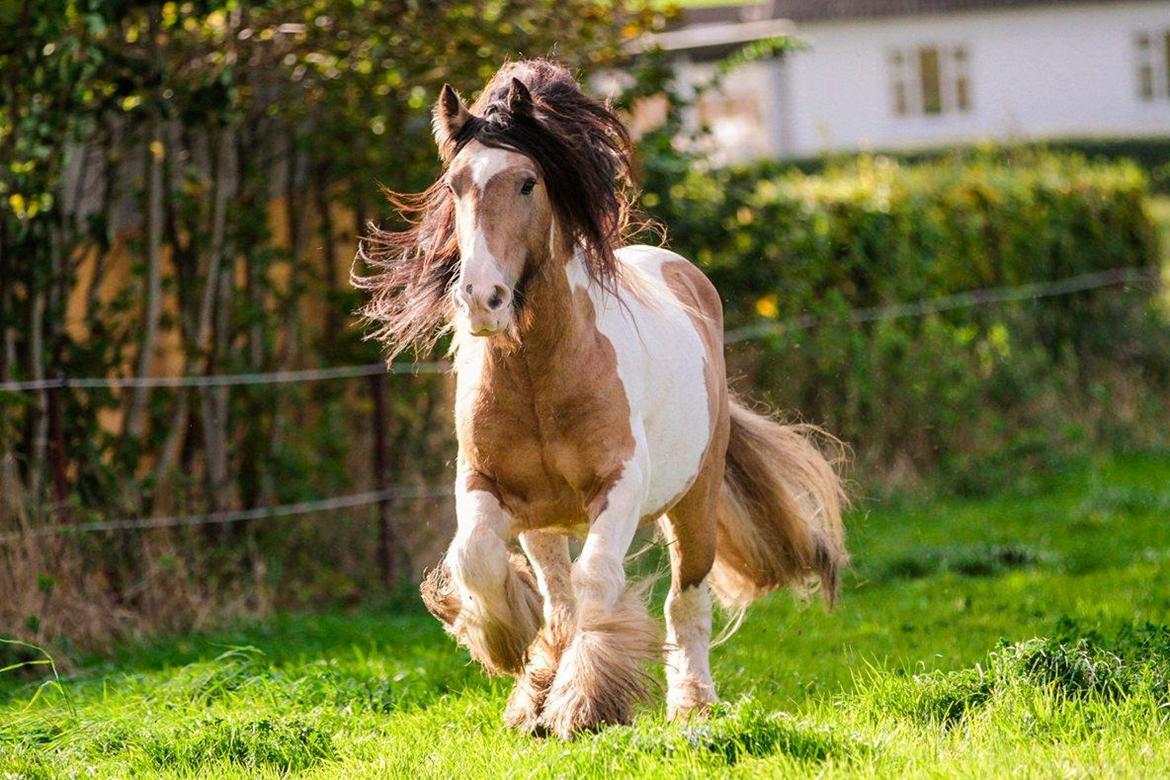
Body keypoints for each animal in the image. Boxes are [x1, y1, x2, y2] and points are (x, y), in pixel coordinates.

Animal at [351, 59, 847, 739]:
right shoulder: (483, 484)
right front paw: (513, 649)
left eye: (527, 182)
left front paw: (582, 703)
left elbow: (599, 583)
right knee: (558, 591)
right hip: (545, 521)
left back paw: (692, 703)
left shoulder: (619, 485)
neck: (541, 375)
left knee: (685, 601)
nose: (481, 299)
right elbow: (478, 559)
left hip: (694, 501)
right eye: (454, 185)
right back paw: (537, 686)